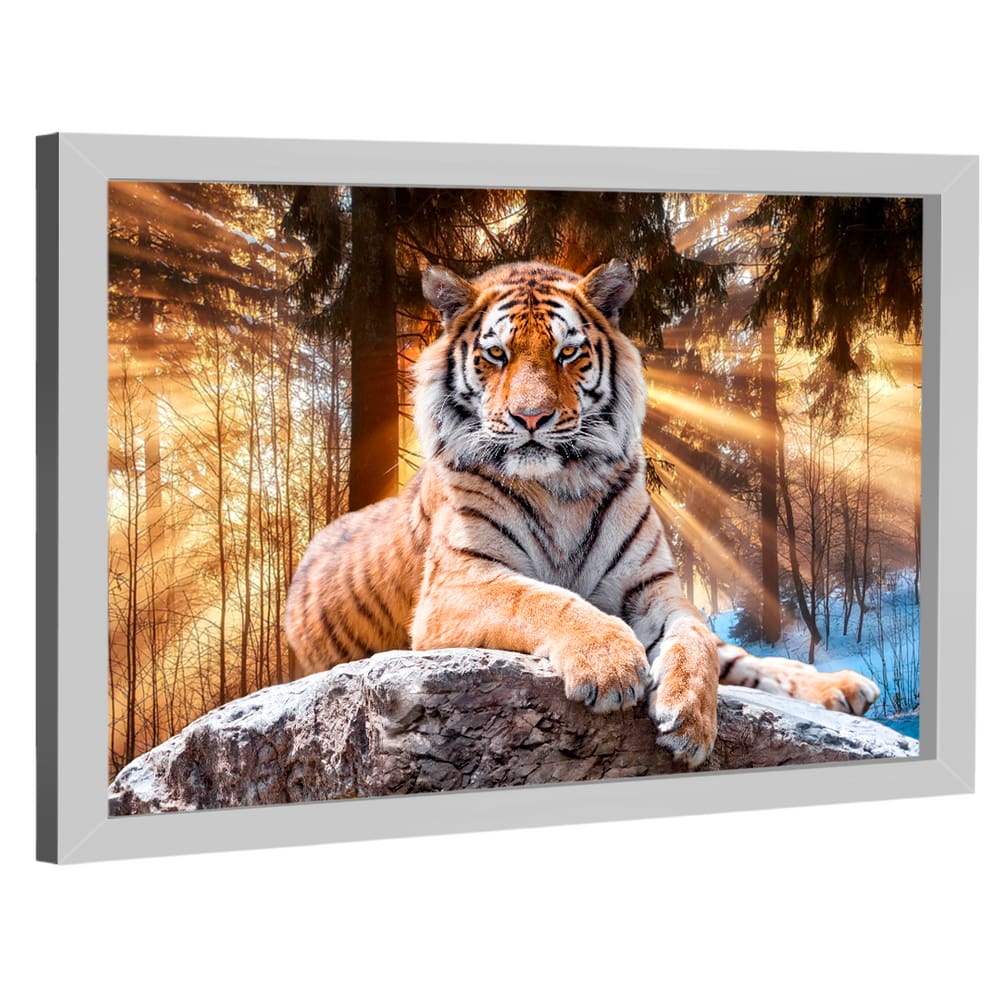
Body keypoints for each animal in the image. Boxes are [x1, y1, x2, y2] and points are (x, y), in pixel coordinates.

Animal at [284, 259, 880, 769]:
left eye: (567, 354)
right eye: (496, 356)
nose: (530, 418)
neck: (562, 486)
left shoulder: (654, 588)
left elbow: (695, 640)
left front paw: (690, 717)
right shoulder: (457, 583)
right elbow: (542, 599)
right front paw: (610, 663)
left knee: (738, 657)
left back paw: (845, 687)